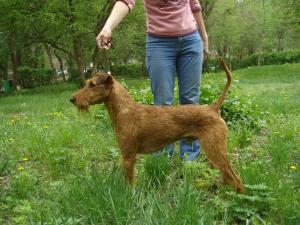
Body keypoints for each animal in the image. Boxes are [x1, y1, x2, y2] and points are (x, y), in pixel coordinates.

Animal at [70, 59, 244, 193]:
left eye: (92, 84)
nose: (72, 99)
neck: (125, 111)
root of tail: (213, 108)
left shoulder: (128, 156)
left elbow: (129, 182)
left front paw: (129, 197)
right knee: (228, 175)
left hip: (214, 149)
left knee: (235, 177)